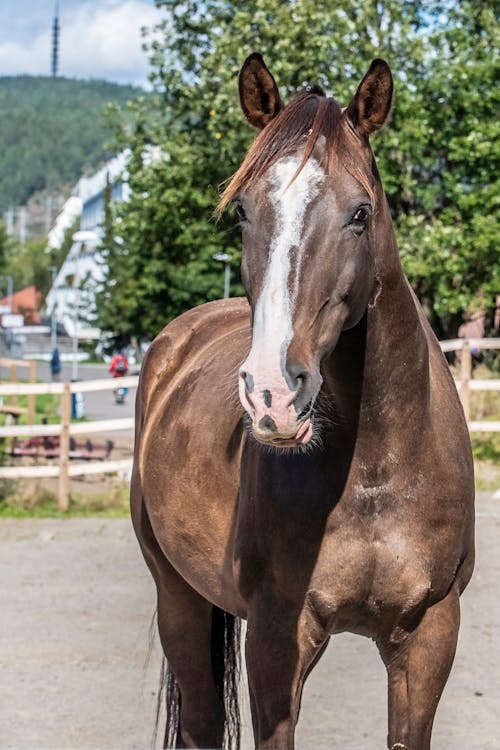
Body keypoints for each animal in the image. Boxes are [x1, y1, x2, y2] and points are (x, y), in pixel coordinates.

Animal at [131, 54, 474, 750]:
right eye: (242, 212)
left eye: (361, 213)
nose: (273, 393)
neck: (375, 469)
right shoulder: (276, 637)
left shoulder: (430, 635)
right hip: (176, 595)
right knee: (202, 719)